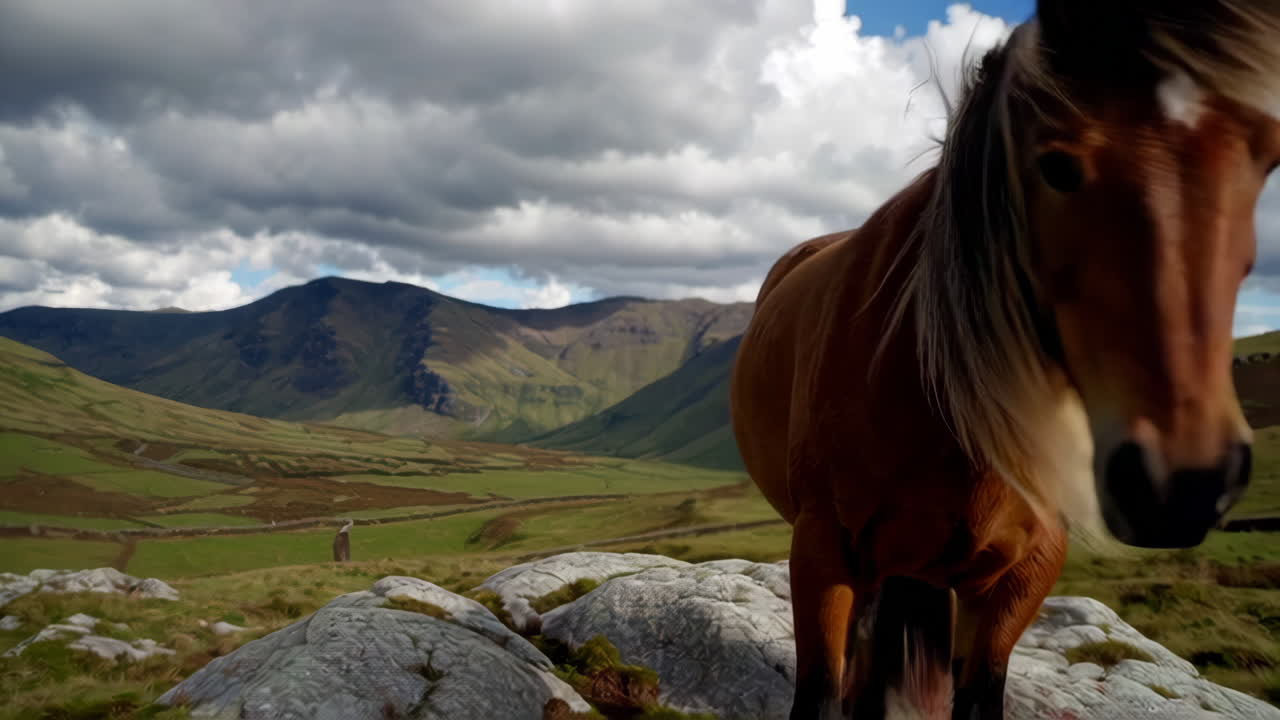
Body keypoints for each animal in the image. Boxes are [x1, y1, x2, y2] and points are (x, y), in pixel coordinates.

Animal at [729, 2, 1280, 717]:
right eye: (1056, 164)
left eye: (1267, 160)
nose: (1181, 483)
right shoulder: (823, 553)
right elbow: (822, 690)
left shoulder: (1022, 577)